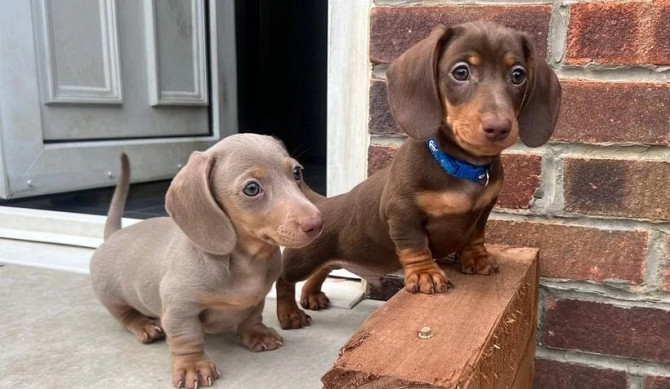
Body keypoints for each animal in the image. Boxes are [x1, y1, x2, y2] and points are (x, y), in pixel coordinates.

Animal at [276, 22, 564, 328]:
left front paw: (476, 258)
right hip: (303, 257)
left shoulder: (484, 208)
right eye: (461, 72)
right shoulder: (402, 211)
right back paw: (290, 312)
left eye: (518, 75)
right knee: (284, 279)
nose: (499, 126)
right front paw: (426, 273)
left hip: (337, 256)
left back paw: (312, 294)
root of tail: (323, 202)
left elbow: (476, 233)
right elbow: (415, 243)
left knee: (323, 269)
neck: (461, 165)